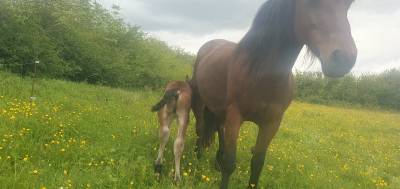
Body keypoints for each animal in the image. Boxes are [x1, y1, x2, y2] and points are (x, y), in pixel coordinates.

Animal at [192, 0, 358, 188]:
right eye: (311, 3)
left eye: (348, 5)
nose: (344, 59)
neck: (261, 73)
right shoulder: (235, 116)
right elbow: (230, 163)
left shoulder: (271, 123)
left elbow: (257, 163)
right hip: (201, 101)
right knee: (201, 127)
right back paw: (197, 158)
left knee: (218, 129)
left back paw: (216, 162)